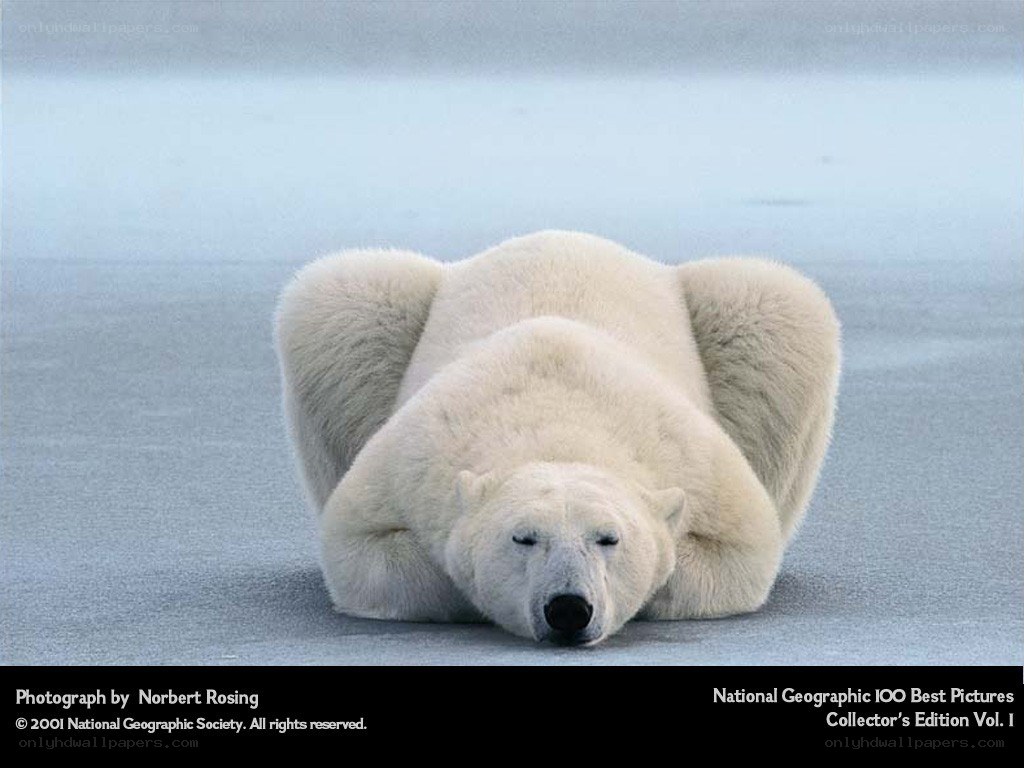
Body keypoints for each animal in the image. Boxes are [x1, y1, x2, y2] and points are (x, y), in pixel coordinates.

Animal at [273, 230, 840, 645]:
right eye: (524, 537)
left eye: (609, 537)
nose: (568, 608)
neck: (560, 424)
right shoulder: (414, 459)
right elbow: (361, 548)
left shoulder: (694, 463)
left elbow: (740, 551)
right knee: (343, 298)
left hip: (743, 319)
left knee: (772, 306)